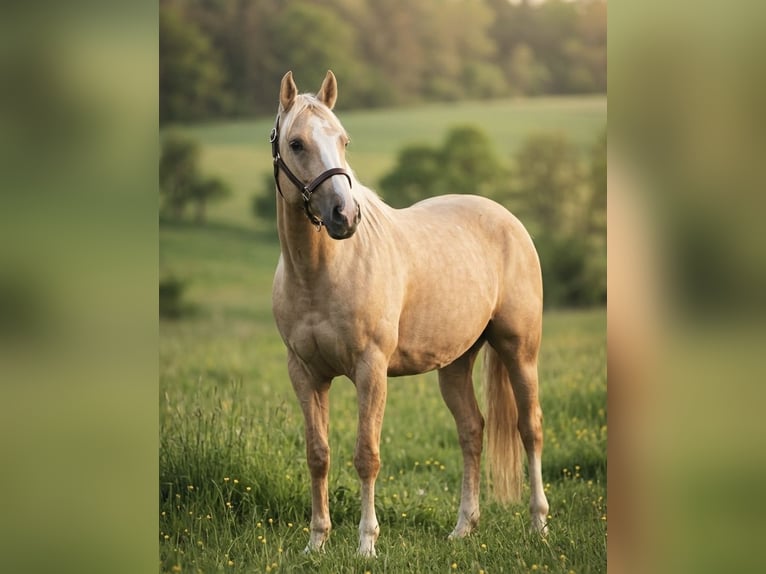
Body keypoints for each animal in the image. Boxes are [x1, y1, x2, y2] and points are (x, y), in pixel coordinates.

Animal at [270, 70, 549, 557]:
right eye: (297, 143)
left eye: (343, 140)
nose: (345, 216)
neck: (320, 272)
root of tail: (508, 219)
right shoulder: (304, 372)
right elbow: (317, 454)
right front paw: (316, 542)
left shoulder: (371, 369)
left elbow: (366, 455)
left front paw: (366, 544)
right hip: (456, 363)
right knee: (472, 430)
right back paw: (463, 528)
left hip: (519, 350)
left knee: (529, 428)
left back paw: (539, 524)